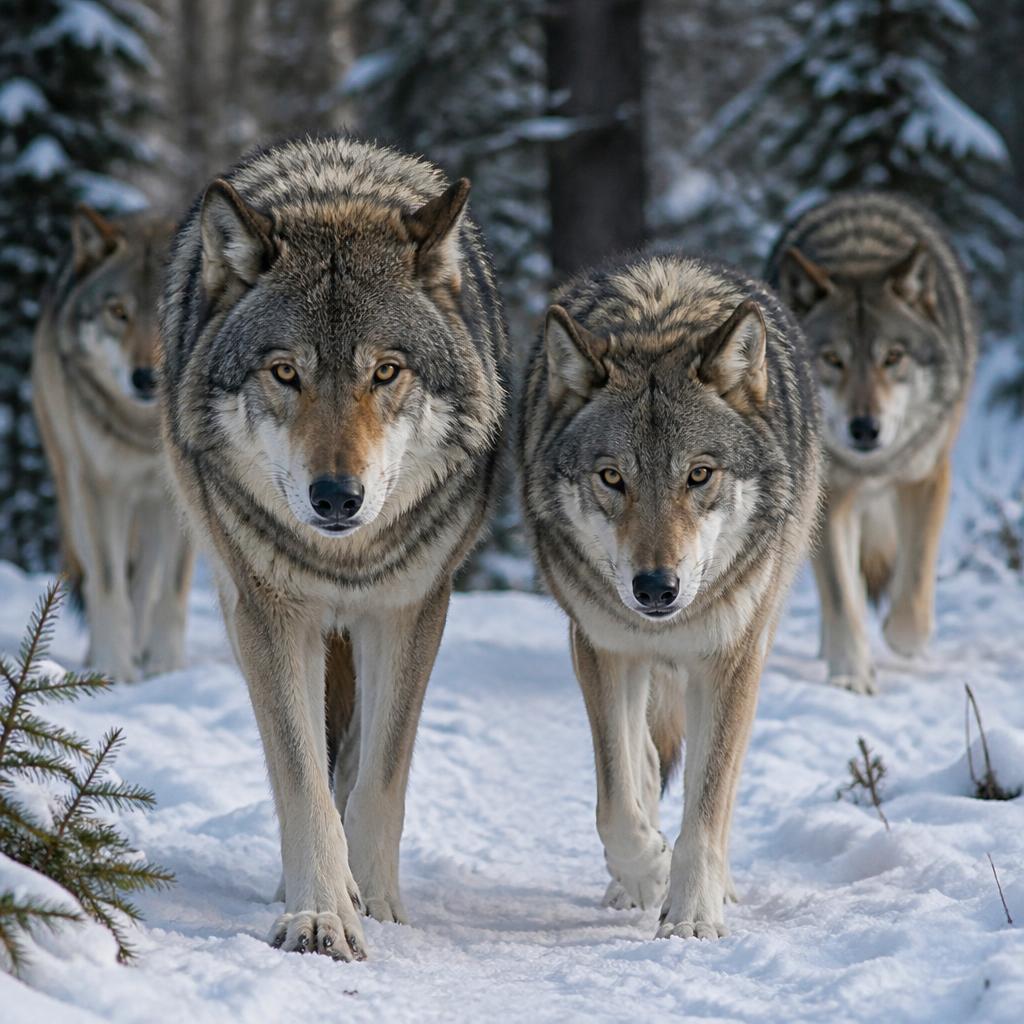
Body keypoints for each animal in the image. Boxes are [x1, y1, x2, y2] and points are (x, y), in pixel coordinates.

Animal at [31, 208, 193, 682]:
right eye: (118, 312)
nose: (145, 378)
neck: (144, 433)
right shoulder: (101, 488)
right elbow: (107, 583)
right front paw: (114, 668)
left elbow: (169, 590)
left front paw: (166, 668)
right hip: (75, 489)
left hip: (154, 507)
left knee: (144, 580)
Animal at [160, 135, 509, 960]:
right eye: (286, 372)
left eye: (385, 370)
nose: (336, 498)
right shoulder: (270, 613)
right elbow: (300, 776)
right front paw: (319, 911)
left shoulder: (411, 610)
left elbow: (380, 777)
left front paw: (373, 902)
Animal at [518, 254, 822, 939]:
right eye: (612, 478)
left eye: (699, 475)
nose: (656, 587)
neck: (657, 325)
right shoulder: (603, 649)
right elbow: (616, 801)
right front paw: (648, 872)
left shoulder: (730, 660)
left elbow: (708, 808)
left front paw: (691, 916)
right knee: (646, 768)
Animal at [768, 192, 976, 695]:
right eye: (833, 360)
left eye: (893, 357)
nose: (865, 428)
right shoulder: (830, 495)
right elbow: (843, 597)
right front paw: (851, 673)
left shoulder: (927, 476)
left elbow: (916, 576)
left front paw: (902, 638)